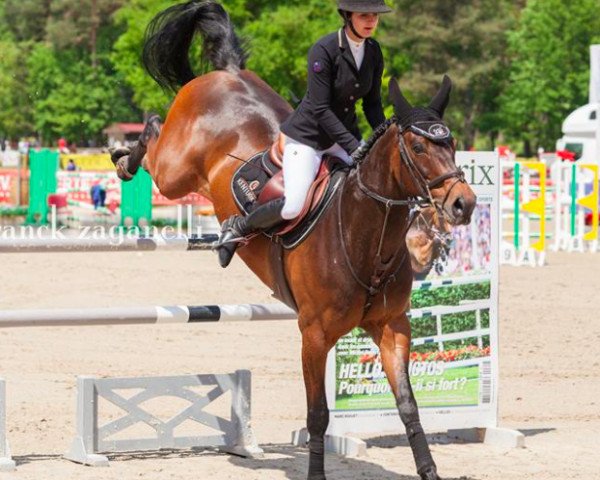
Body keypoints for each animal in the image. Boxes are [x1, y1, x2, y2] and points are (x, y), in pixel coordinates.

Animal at [111, 1, 478, 478]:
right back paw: (124, 157)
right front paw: (316, 471)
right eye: (418, 149)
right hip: (175, 173)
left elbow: (409, 406)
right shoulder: (314, 334)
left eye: (451, 144)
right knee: (154, 131)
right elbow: (317, 414)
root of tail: (228, 72)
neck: (365, 238)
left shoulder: (392, 327)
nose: (464, 204)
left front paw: (429, 469)